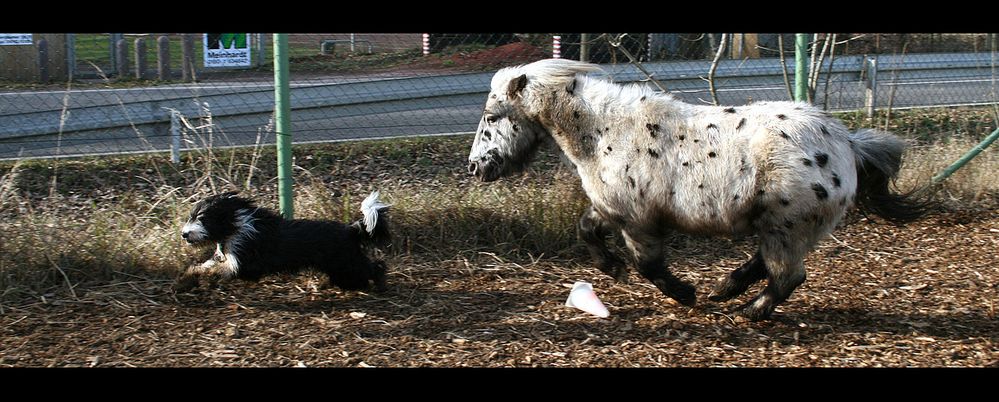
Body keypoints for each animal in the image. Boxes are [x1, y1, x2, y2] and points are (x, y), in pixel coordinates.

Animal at [172, 190, 390, 294]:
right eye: (191, 216)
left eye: (202, 218)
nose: (184, 234)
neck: (236, 225)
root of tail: (350, 229)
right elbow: (204, 265)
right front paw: (185, 279)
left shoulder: (241, 264)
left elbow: (213, 270)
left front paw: (196, 279)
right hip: (341, 266)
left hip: (345, 264)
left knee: (374, 268)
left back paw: (378, 283)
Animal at [468, 58, 928, 320]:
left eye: (491, 116)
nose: (475, 167)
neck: (603, 132)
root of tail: (849, 143)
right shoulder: (612, 208)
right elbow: (586, 230)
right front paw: (611, 268)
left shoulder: (637, 221)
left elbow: (648, 266)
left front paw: (684, 294)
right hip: (779, 225)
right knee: (765, 265)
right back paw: (726, 289)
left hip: (788, 226)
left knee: (787, 275)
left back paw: (750, 310)